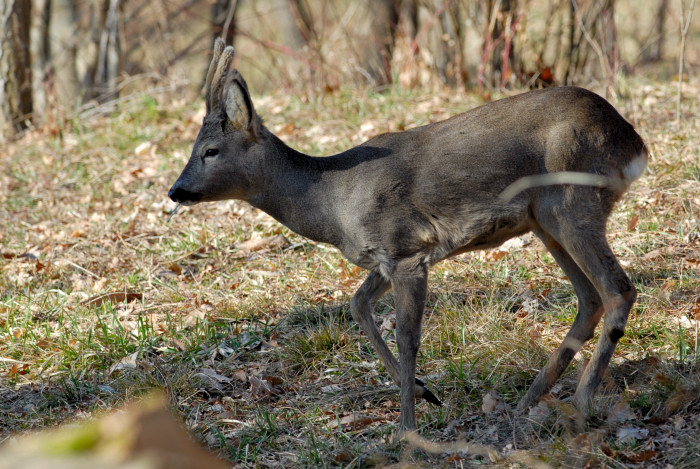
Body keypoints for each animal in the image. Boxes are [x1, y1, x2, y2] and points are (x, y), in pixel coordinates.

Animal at [168, 38, 644, 430]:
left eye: (210, 150)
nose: (175, 190)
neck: (332, 201)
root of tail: (633, 143)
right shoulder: (384, 258)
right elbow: (357, 306)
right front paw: (424, 392)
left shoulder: (407, 251)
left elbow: (407, 336)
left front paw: (406, 430)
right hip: (544, 221)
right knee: (590, 298)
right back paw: (527, 402)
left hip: (572, 198)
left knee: (618, 289)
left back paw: (580, 406)